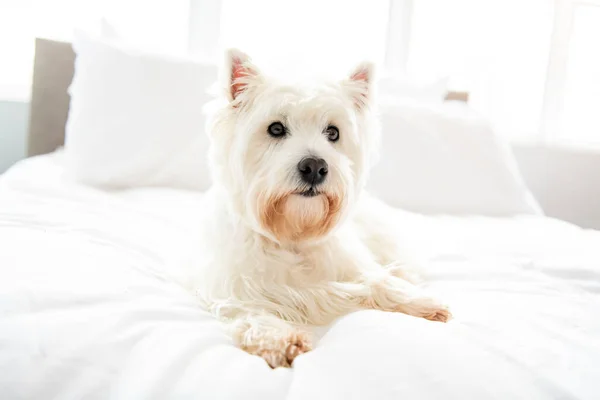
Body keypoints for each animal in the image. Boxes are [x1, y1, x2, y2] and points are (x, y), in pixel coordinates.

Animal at [197, 48, 450, 368]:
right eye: (275, 128)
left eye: (333, 132)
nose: (315, 167)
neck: (294, 231)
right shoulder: (234, 287)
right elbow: (252, 312)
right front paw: (279, 338)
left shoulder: (351, 266)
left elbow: (377, 280)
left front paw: (420, 300)